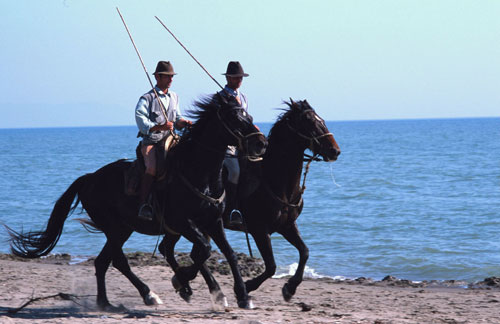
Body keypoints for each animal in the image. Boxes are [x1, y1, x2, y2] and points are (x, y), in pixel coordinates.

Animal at [7, 93, 268, 308]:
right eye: (234, 117)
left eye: (248, 115)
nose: (261, 143)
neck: (197, 171)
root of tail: (90, 178)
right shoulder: (183, 223)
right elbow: (203, 250)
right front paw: (183, 281)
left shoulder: (213, 221)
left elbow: (228, 253)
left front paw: (241, 295)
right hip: (115, 228)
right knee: (116, 261)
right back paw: (145, 295)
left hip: (125, 229)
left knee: (106, 261)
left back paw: (109, 302)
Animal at [160, 99, 340, 304]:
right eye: (309, 121)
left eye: (321, 119)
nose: (335, 151)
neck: (274, 179)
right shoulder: (259, 229)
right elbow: (271, 266)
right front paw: (247, 287)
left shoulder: (286, 226)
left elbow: (305, 252)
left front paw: (290, 288)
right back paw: (189, 282)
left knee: (175, 249)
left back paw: (194, 286)